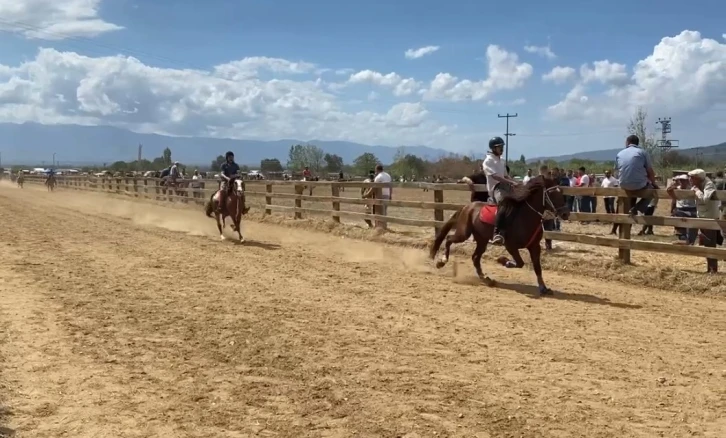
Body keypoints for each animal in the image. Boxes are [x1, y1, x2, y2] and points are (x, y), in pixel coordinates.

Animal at [430, 176, 572, 296]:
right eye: (553, 194)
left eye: (561, 192)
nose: (566, 213)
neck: (525, 217)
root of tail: (467, 207)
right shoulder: (510, 246)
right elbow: (520, 263)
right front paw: (503, 261)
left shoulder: (534, 247)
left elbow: (538, 268)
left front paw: (543, 288)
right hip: (463, 234)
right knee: (449, 239)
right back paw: (441, 261)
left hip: (482, 240)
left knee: (475, 257)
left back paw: (486, 279)